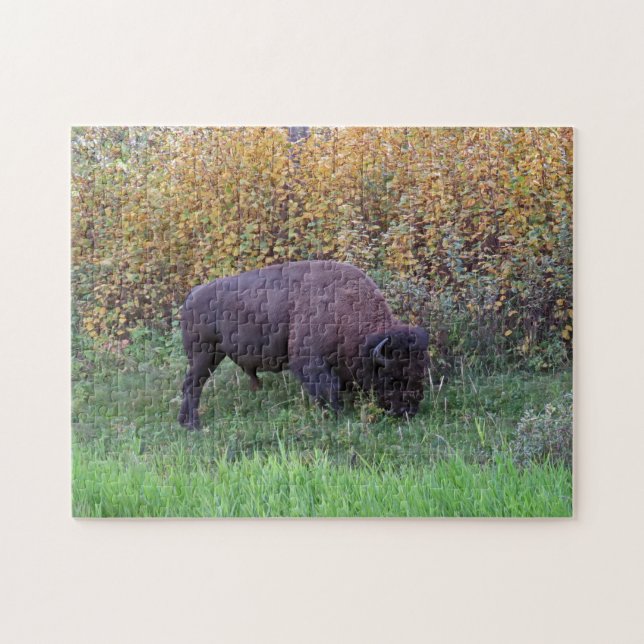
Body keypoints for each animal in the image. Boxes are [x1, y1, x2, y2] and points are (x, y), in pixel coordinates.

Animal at [178, 260, 429, 429]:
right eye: (392, 377)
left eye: (420, 372)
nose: (408, 411)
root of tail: (192, 295)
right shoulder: (311, 362)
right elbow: (328, 390)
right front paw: (335, 416)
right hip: (204, 353)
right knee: (193, 385)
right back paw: (194, 425)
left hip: (211, 355)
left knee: (190, 384)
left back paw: (183, 422)